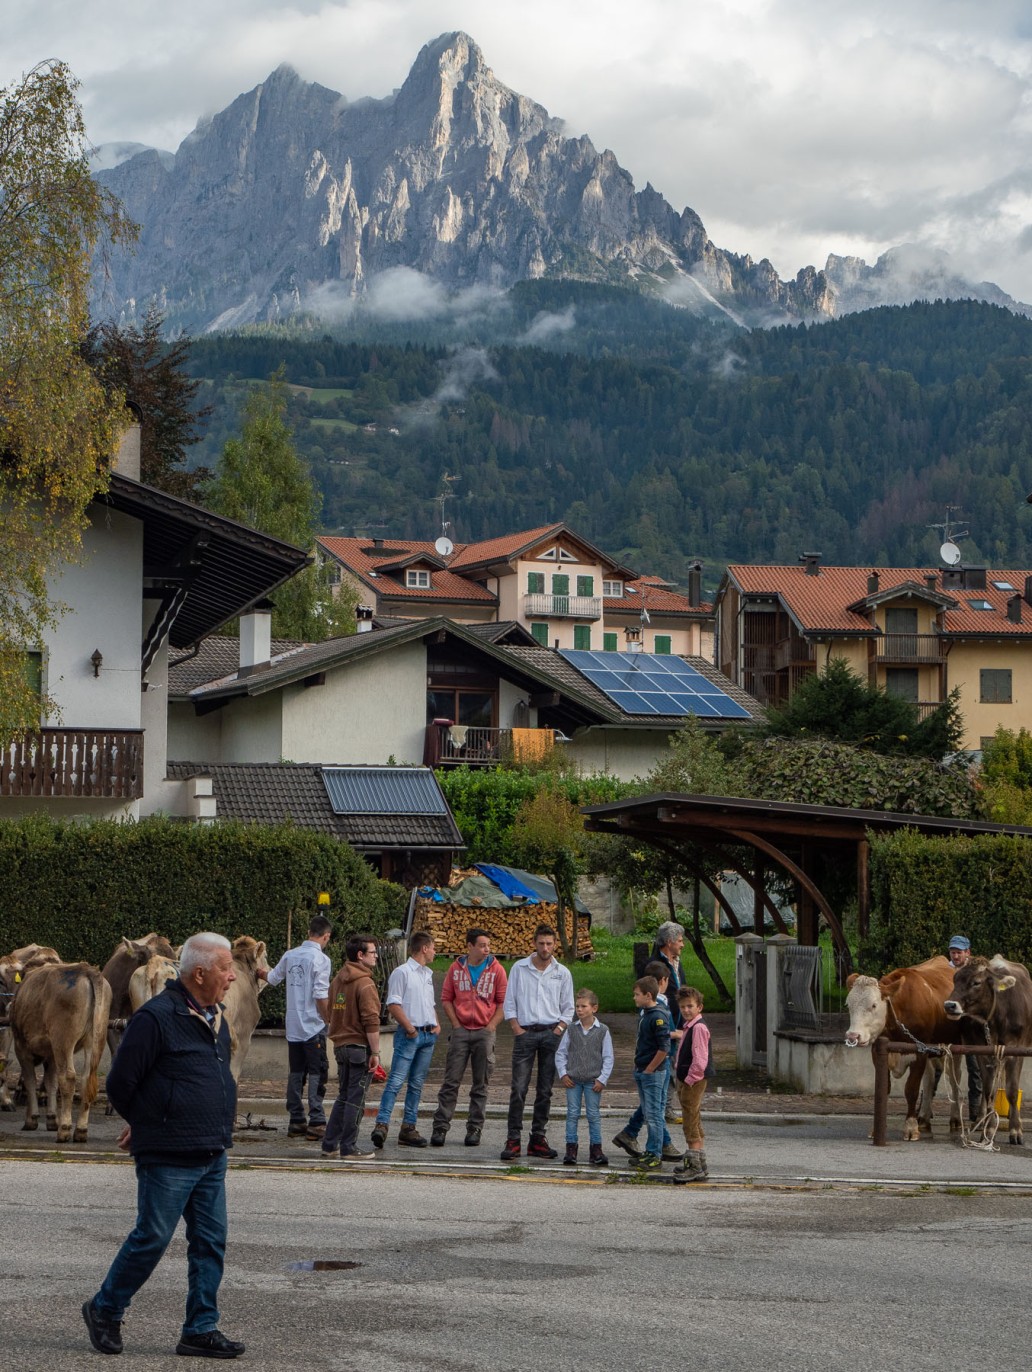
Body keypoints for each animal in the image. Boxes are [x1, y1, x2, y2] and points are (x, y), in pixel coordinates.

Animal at [10, 961, 112, 1142]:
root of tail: (86, 969)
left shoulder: (21, 1047)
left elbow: (30, 1081)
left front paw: (31, 1120)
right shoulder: (51, 1053)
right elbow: (51, 1082)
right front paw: (51, 1119)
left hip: (63, 1039)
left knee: (68, 1077)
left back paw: (64, 1129)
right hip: (96, 1038)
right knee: (86, 1079)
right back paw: (80, 1131)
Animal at [846, 956, 968, 1141]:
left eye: (873, 1005)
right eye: (848, 1005)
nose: (853, 1036)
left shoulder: (919, 1052)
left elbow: (911, 1090)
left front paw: (910, 1127)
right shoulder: (879, 1053)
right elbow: (883, 1089)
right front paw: (877, 1128)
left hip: (954, 1046)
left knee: (955, 1078)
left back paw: (955, 1118)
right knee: (930, 1079)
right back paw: (923, 1118)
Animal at [945, 954, 1032, 1145]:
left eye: (976, 982)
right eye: (955, 980)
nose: (949, 1005)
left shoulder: (1016, 1049)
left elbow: (1012, 1091)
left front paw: (1016, 1130)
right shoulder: (983, 1051)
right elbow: (989, 1090)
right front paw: (989, 1129)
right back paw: (980, 1119)